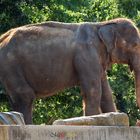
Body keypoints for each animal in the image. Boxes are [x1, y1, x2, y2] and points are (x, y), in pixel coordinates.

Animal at [0, 17, 140, 123]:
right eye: (135, 45)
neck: (102, 24)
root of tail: (3, 37)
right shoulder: (86, 55)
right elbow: (93, 92)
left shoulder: (97, 61)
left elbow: (106, 94)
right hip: (11, 66)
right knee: (25, 97)